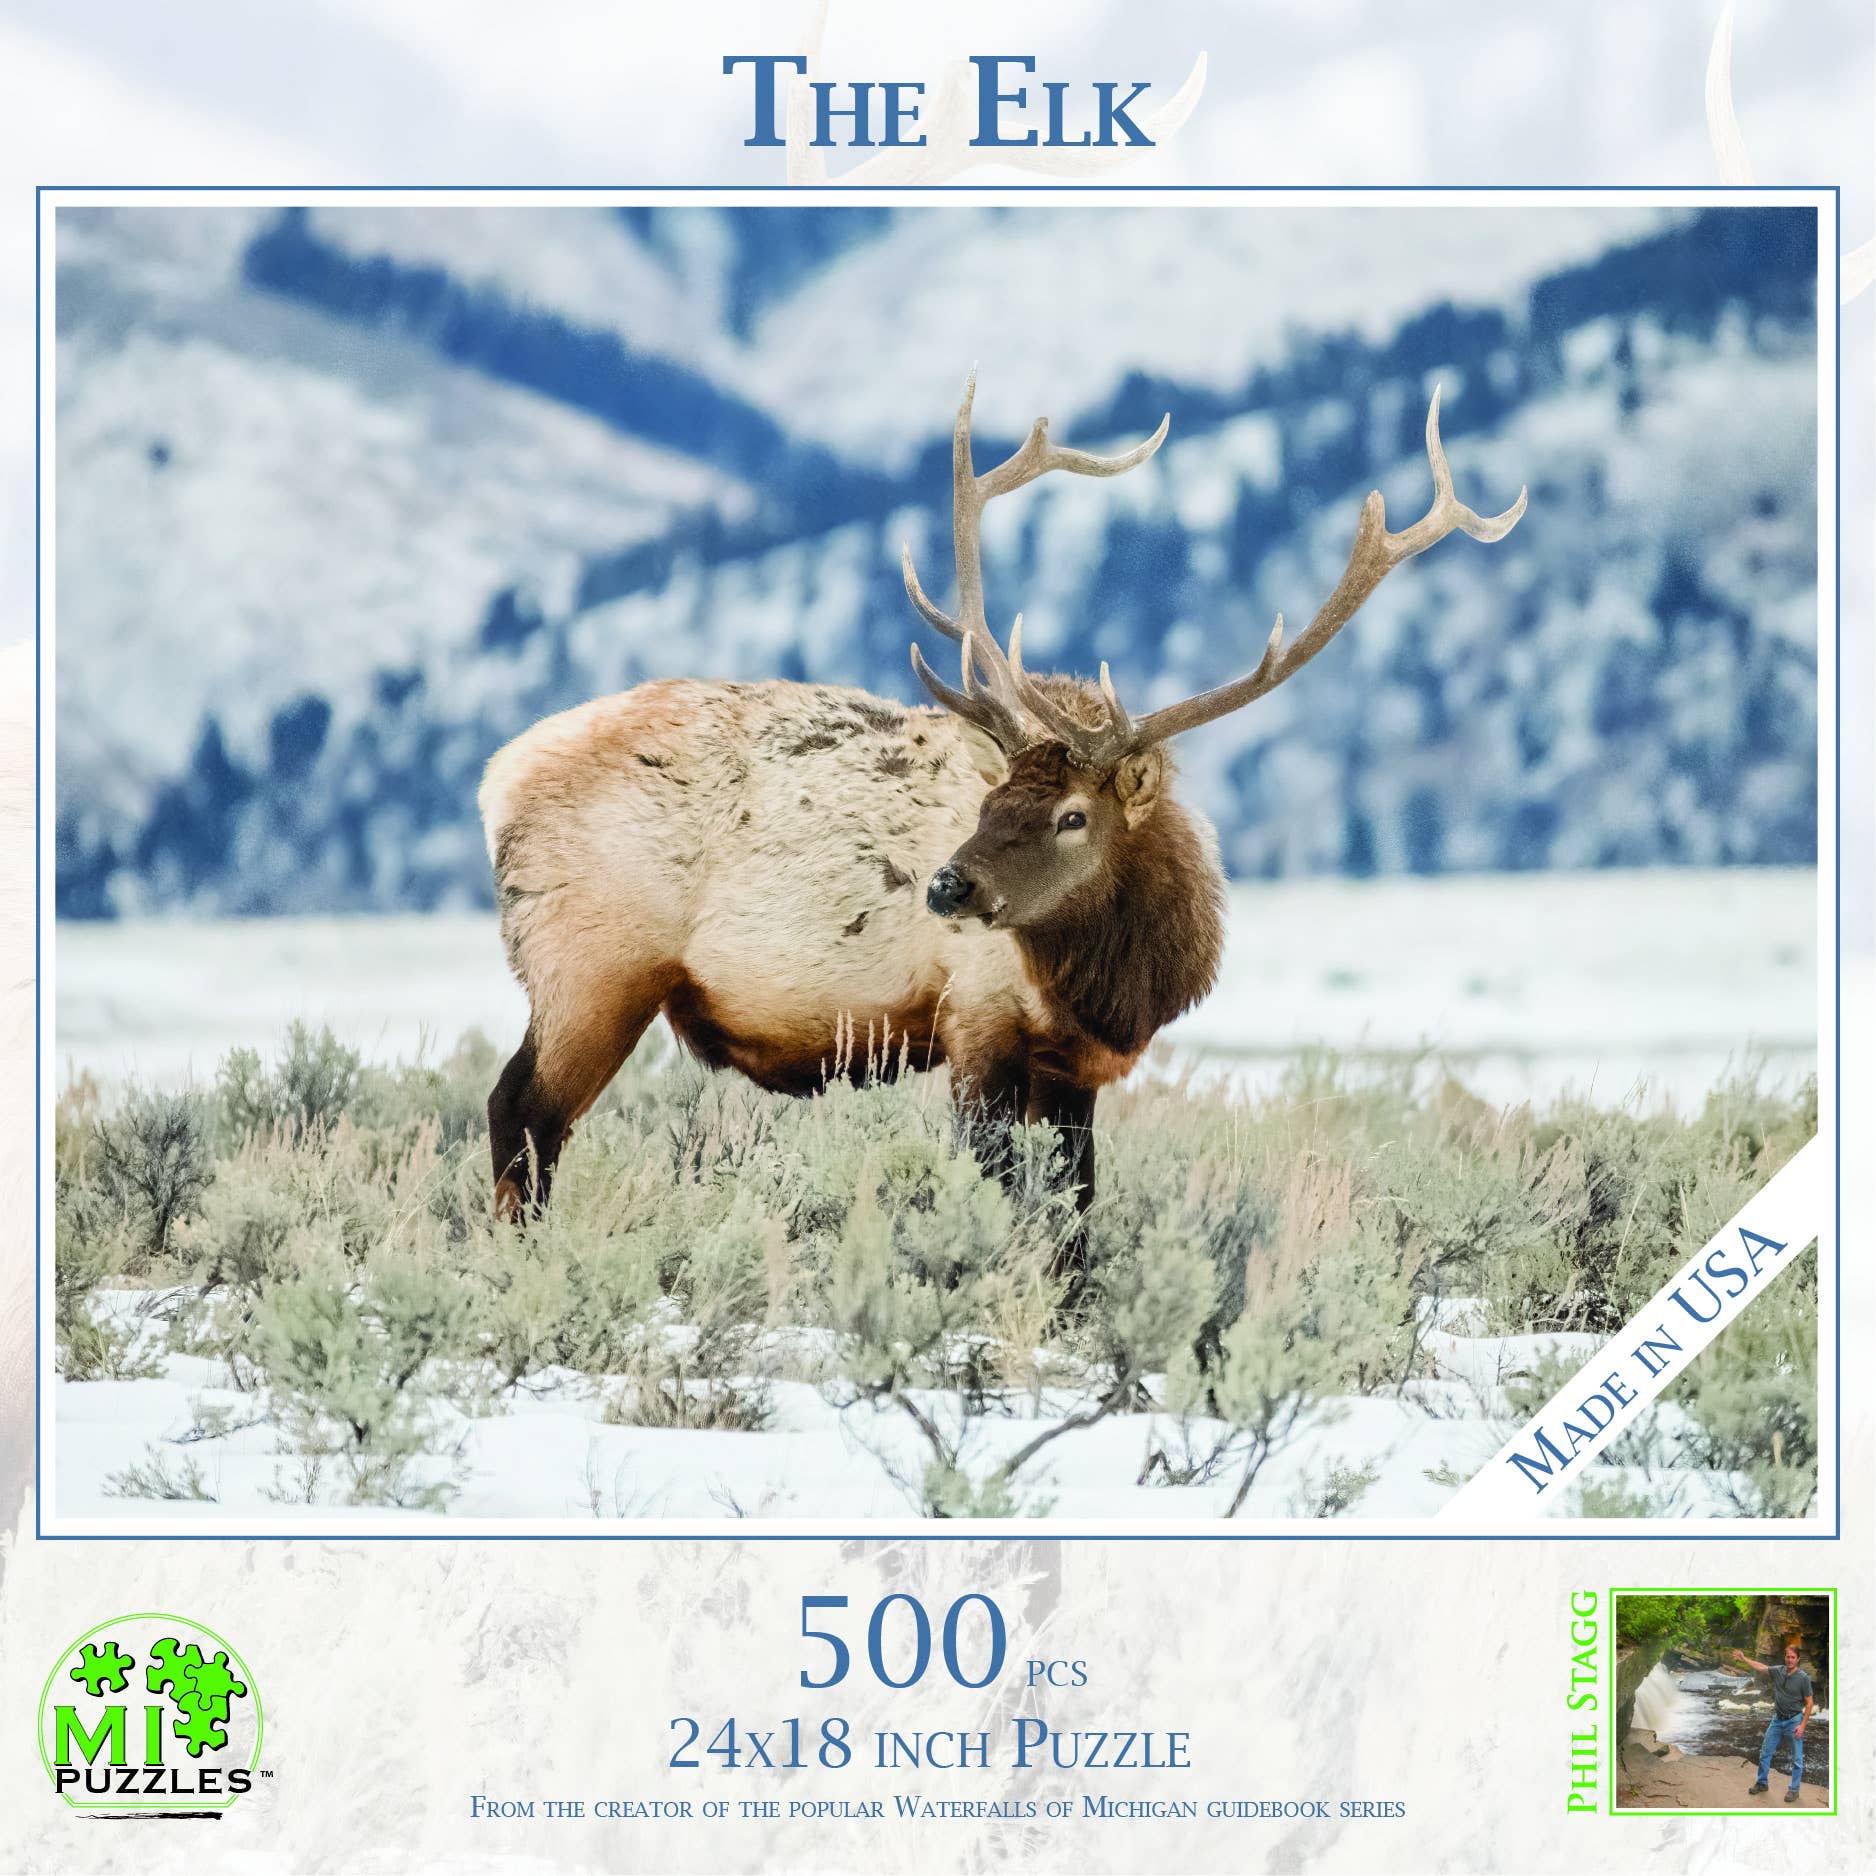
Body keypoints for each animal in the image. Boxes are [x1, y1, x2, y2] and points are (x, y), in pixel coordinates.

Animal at [480, 376, 1526, 1261]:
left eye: (1071, 816)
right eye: (989, 802)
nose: (947, 884)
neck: (1116, 983)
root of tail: (497, 778)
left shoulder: (1075, 1070)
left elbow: (1076, 1213)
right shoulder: (975, 1024)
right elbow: (993, 1188)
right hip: (594, 962)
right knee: (522, 1112)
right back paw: (520, 1260)